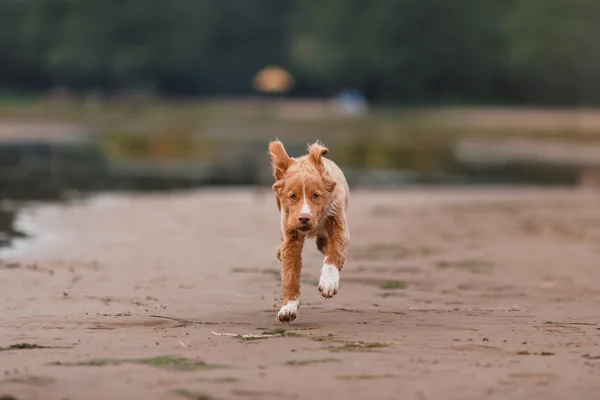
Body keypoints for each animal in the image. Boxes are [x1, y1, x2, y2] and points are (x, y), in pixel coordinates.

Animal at [268, 139, 350, 324]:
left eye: (316, 195)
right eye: (292, 196)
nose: (304, 218)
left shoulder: (338, 225)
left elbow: (335, 253)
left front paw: (328, 283)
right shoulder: (291, 235)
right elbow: (290, 273)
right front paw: (288, 308)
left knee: (326, 246)